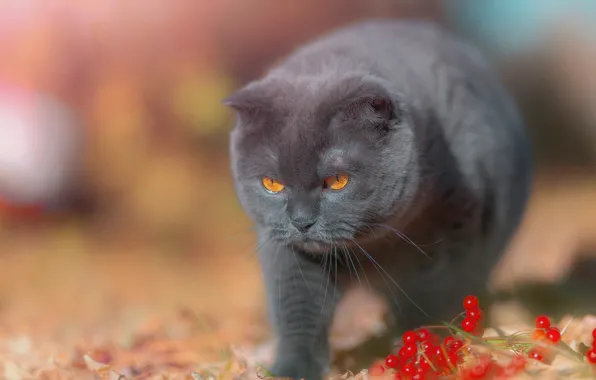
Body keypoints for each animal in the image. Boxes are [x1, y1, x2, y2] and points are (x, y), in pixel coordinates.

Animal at [226, 19, 532, 378]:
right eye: (271, 184)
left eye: (337, 181)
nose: (301, 221)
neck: (375, 245)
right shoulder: (291, 254)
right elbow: (297, 311)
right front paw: (292, 369)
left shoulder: (455, 234)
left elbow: (428, 300)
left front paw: (420, 354)